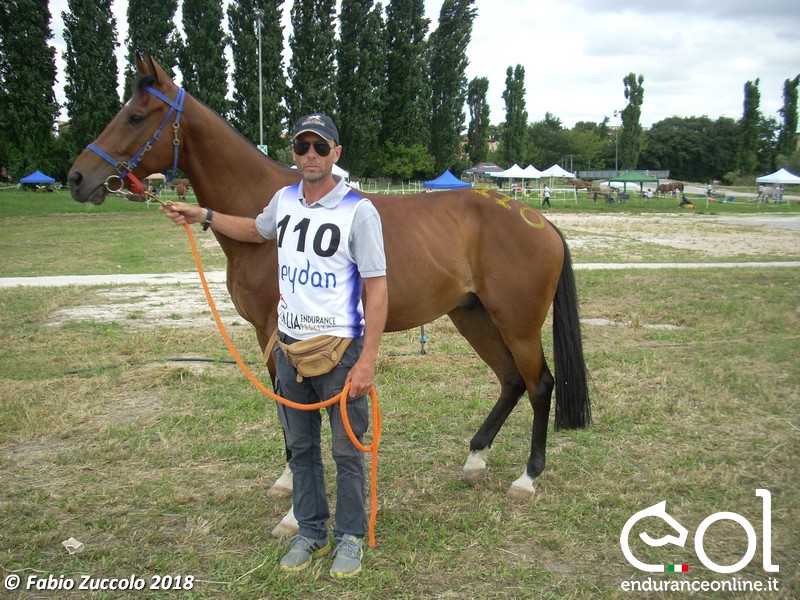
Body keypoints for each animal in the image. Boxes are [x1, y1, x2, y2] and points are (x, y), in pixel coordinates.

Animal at [68, 54, 590, 536]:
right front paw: (287, 482)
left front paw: (295, 511)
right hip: (473, 316)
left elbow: (295, 410)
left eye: (136, 117)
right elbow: (288, 412)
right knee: (511, 380)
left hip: (516, 323)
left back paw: (527, 478)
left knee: (539, 383)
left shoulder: (280, 336)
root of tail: (539, 221)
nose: (77, 178)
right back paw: (475, 459)